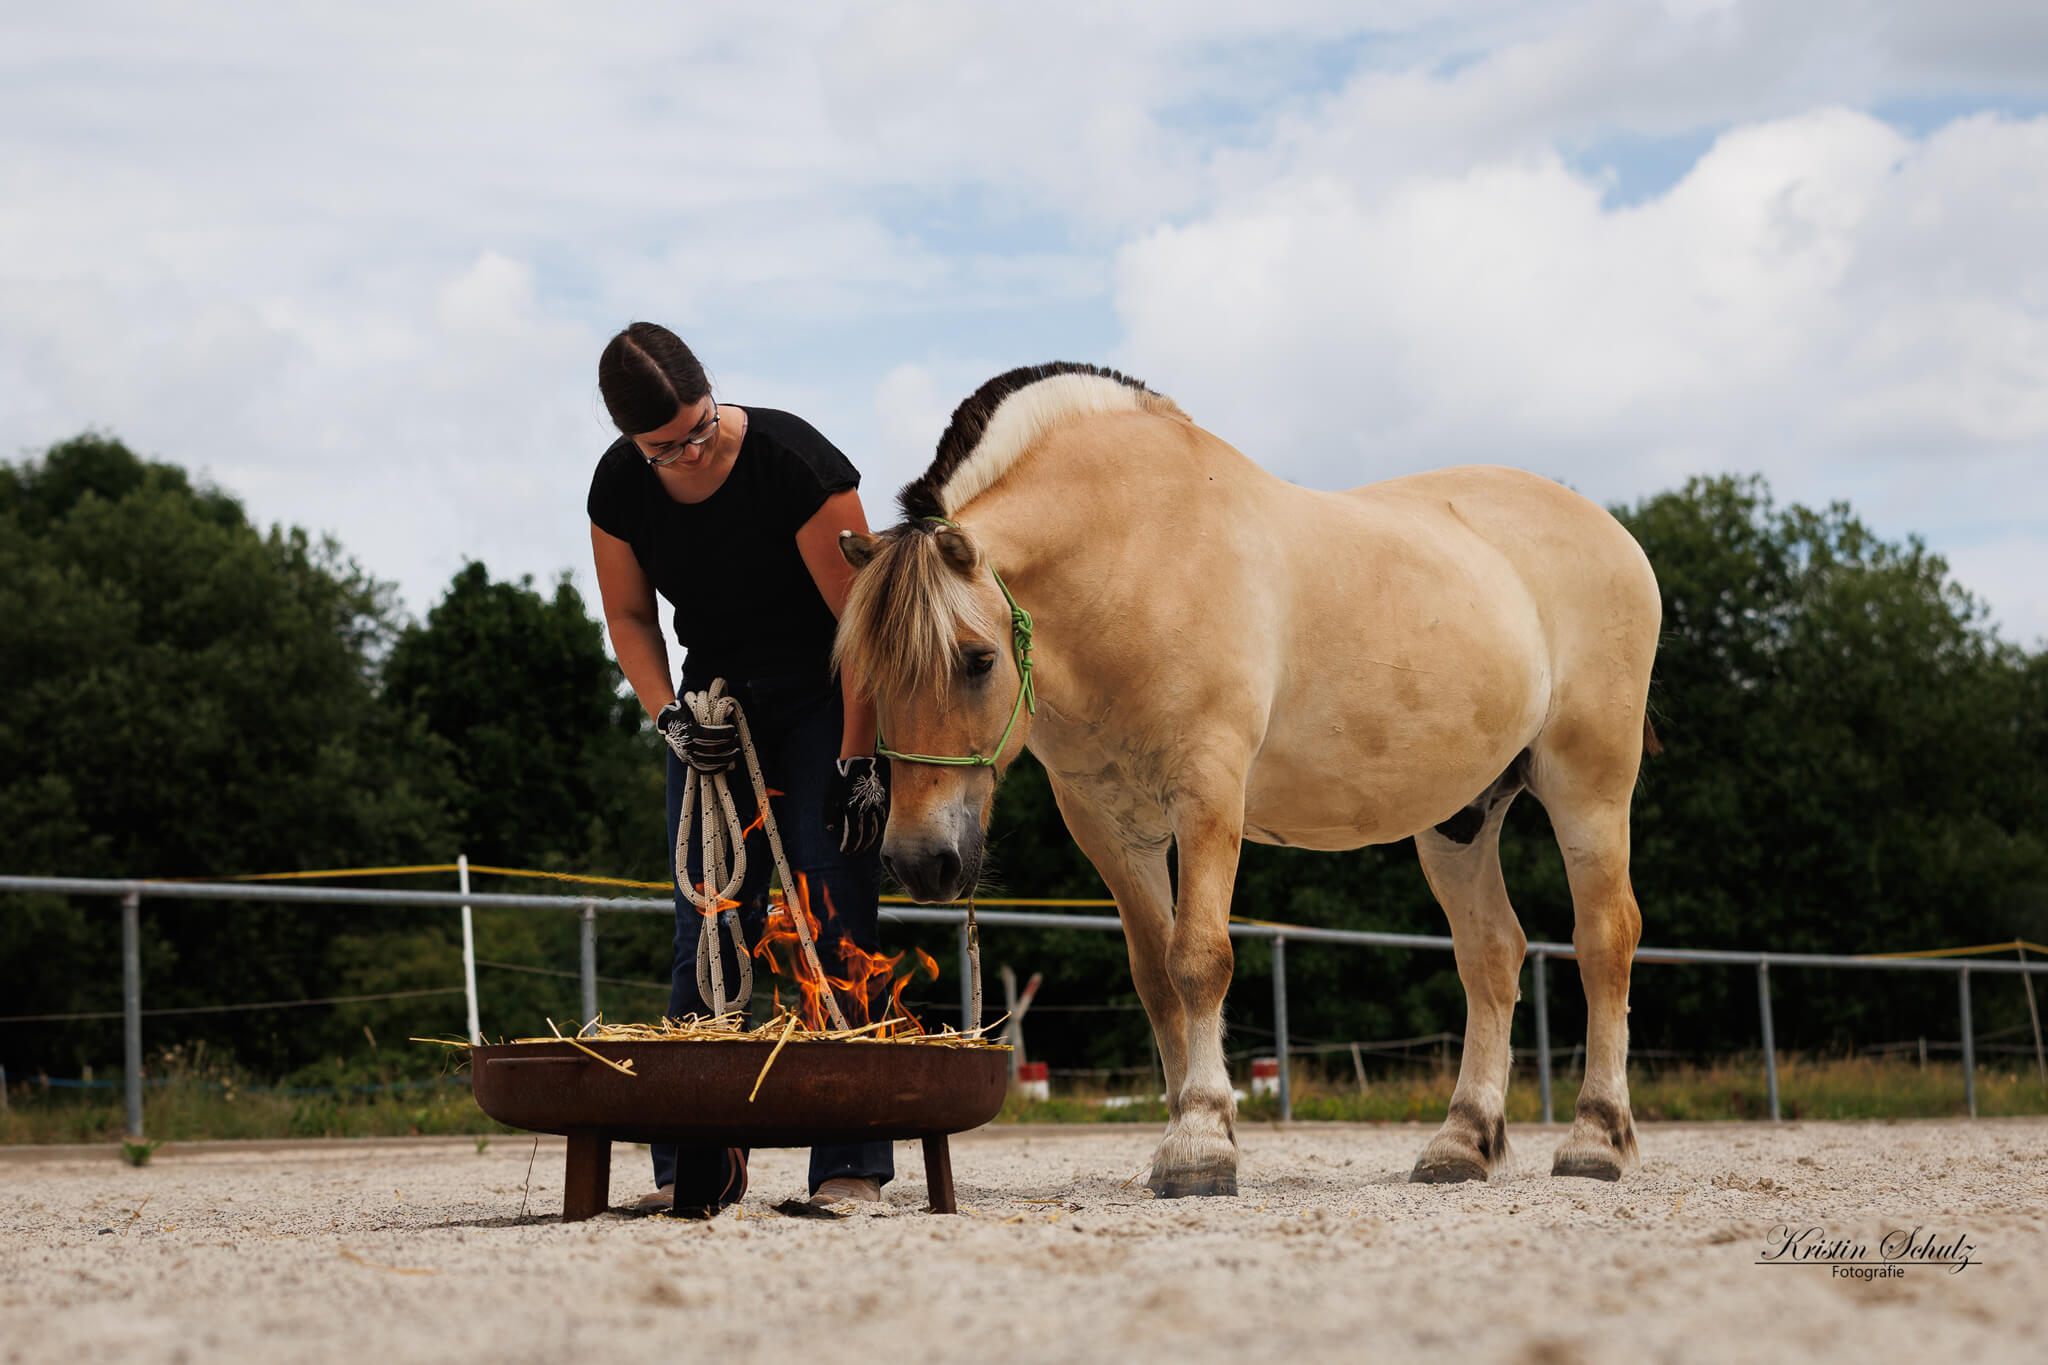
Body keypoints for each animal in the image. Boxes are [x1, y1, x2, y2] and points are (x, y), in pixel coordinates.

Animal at [834, 363, 1661, 1195]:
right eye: (864, 675)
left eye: (977, 660)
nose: (920, 861)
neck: (1134, 550)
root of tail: (1616, 535)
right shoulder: (1108, 824)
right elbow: (1155, 975)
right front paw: (1183, 1130)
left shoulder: (1207, 792)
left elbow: (1199, 959)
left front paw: (1202, 1141)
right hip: (1461, 817)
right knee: (1491, 955)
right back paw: (1462, 1142)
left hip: (1589, 784)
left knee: (1604, 940)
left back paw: (1595, 1138)